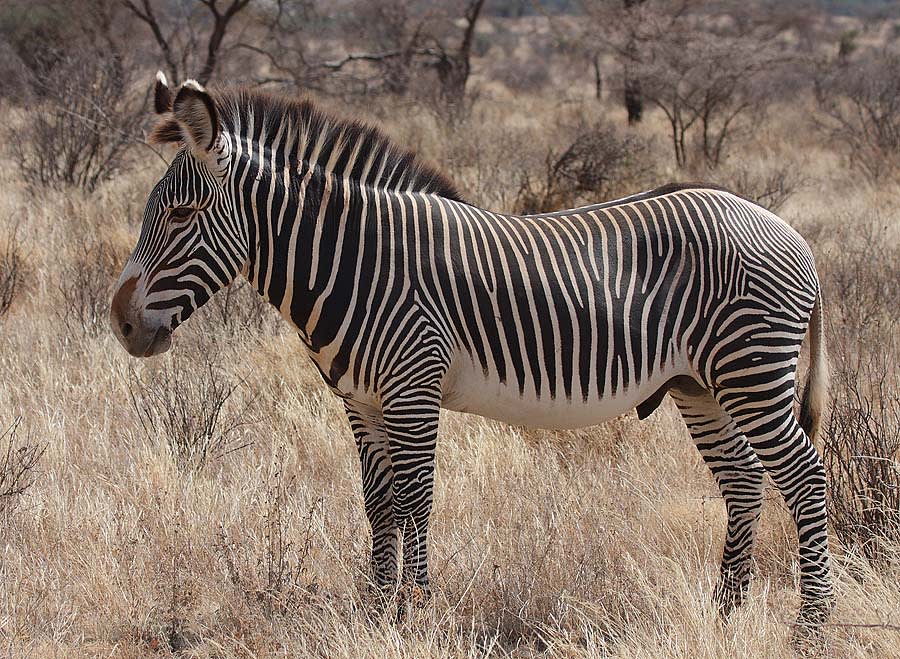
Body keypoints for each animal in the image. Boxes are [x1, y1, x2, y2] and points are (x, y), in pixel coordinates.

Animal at [112, 75, 836, 632]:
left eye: (180, 215)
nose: (120, 323)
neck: (358, 264)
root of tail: (788, 231)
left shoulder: (412, 387)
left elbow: (415, 499)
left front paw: (414, 613)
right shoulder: (361, 401)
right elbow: (378, 503)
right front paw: (375, 611)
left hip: (750, 370)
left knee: (803, 475)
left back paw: (811, 623)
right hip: (701, 385)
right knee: (743, 479)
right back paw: (725, 612)